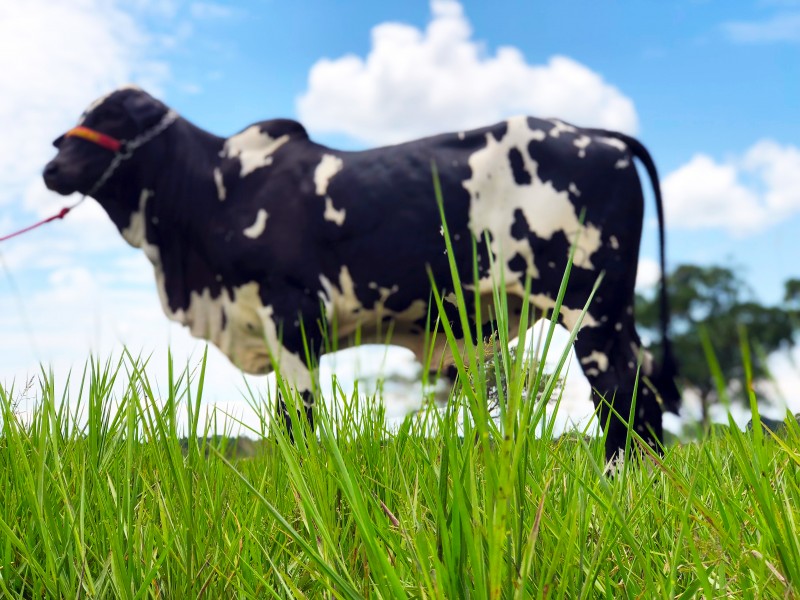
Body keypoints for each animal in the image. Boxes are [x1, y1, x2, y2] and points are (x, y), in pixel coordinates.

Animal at [43, 85, 680, 460]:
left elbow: (296, 418)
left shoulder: (293, 313)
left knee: (619, 392)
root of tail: (594, 134)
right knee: (644, 389)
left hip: (591, 307)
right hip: (615, 313)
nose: (51, 166)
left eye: (111, 116)